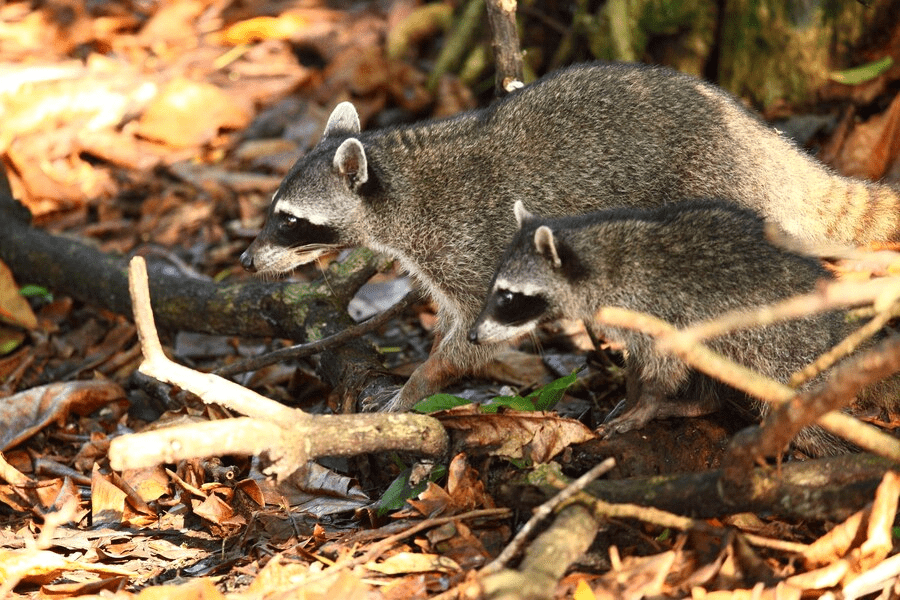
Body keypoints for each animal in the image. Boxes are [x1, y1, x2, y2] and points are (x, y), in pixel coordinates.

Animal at [472, 199, 892, 458]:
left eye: (508, 297)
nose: (473, 335)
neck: (596, 262)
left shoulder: (660, 310)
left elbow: (665, 367)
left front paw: (645, 405)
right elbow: (638, 363)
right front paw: (633, 394)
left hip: (788, 350)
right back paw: (701, 403)